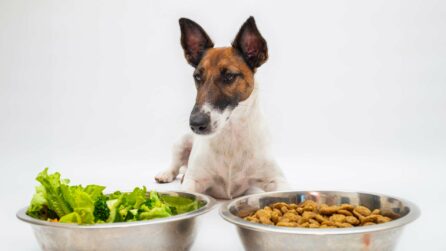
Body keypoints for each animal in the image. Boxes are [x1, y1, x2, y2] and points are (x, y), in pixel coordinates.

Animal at [156, 16, 290, 199]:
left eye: (229, 76)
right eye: (197, 76)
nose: (196, 124)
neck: (231, 133)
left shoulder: (277, 179)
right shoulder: (194, 180)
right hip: (181, 142)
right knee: (175, 165)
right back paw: (165, 173)